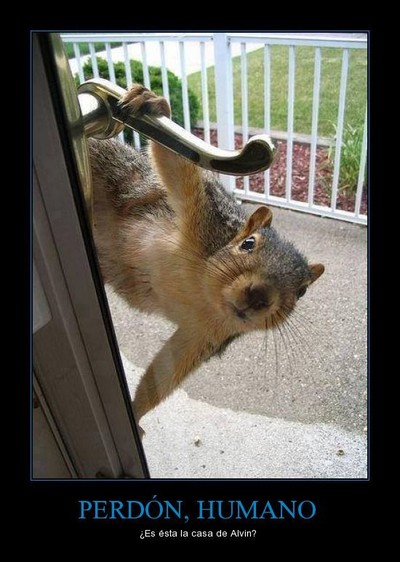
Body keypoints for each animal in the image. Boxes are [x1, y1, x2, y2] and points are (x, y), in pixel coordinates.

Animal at [88, 84, 325, 429]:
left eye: (302, 291)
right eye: (248, 244)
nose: (259, 296)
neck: (204, 295)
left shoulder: (204, 335)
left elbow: (167, 372)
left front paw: (135, 412)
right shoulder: (203, 221)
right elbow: (179, 173)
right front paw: (152, 102)